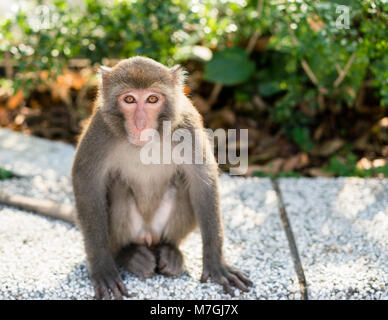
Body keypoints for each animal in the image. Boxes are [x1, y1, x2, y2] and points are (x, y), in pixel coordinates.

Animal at [0, 56, 252, 298]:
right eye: (129, 99)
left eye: (152, 99)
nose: (140, 124)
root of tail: (148, 237)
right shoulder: (100, 129)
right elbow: (87, 182)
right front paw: (103, 268)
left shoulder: (187, 125)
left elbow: (202, 181)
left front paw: (217, 265)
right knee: (119, 188)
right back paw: (128, 255)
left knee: (181, 184)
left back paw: (169, 251)